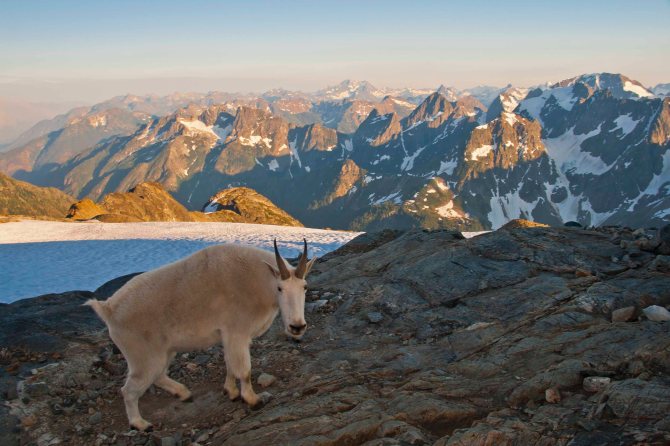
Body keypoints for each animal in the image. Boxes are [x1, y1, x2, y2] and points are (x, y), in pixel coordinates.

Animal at [85, 239, 316, 431]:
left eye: (305, 287)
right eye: (280, 288)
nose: (297, 326)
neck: (258, 282)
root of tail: (109, 310)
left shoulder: (229, 336)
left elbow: (230, 365)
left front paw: (230, 392)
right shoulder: (237, 332)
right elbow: (244, 369)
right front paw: (253, 399)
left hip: (165, 351)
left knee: (158, 375)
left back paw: (184, 393)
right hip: (142, 355)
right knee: (130, 389)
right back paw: (140, 424)